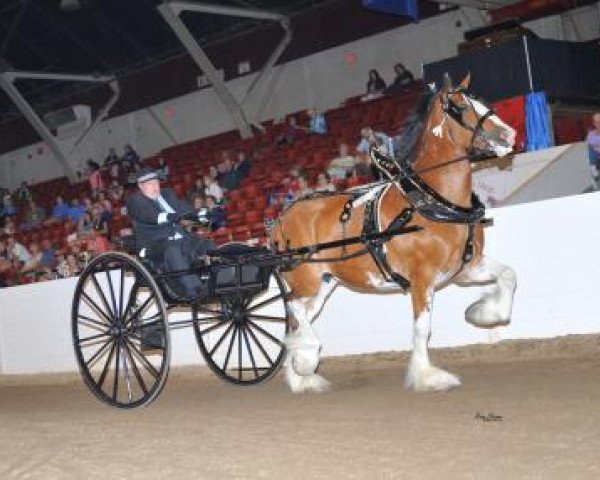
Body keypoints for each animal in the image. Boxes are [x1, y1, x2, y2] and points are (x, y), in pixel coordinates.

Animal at [270, 77, 516, 394]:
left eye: (483, 100)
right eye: (460, 107)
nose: (509, 134)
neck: (430, 202)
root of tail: (281, 217)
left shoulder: (466, 268)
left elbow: (509, 276)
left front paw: (483, 313)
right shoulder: (422, 277)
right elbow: (422, 328)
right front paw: (427, 377)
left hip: (324, 283)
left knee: (298, 320)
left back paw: (301, 379)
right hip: (305, 280)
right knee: (293, 307)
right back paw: (306, 360)